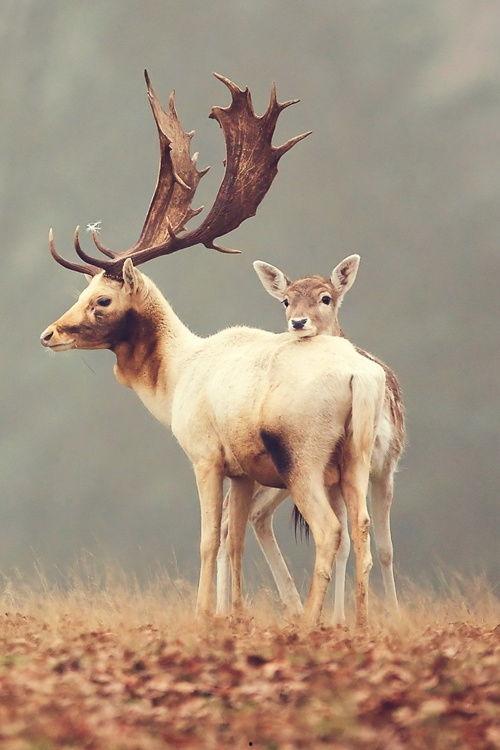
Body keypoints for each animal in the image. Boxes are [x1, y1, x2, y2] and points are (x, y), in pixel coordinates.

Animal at [40, 71, 386, 627]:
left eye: (101, 299)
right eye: (82, 291)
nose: (49, 333)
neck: (176, 379)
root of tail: (361, 377)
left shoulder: (204, 454)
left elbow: (208, 539)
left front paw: (204, 613)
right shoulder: (242, 469)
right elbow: (234, 541)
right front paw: (235, 614)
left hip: (303, 454)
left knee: (330, 531)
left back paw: (309, 622)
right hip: (356, 456)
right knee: (364, 531)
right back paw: (358, 624)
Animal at [217, 256, 405, 624]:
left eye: (325, 297)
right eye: (285, 300)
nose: (298, 322)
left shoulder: (386, 465)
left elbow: (385, 547)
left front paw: (388, 614)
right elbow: (349, 542)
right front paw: (340, 619)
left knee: (251, 517)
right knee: (233, 518)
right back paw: (222, 611)